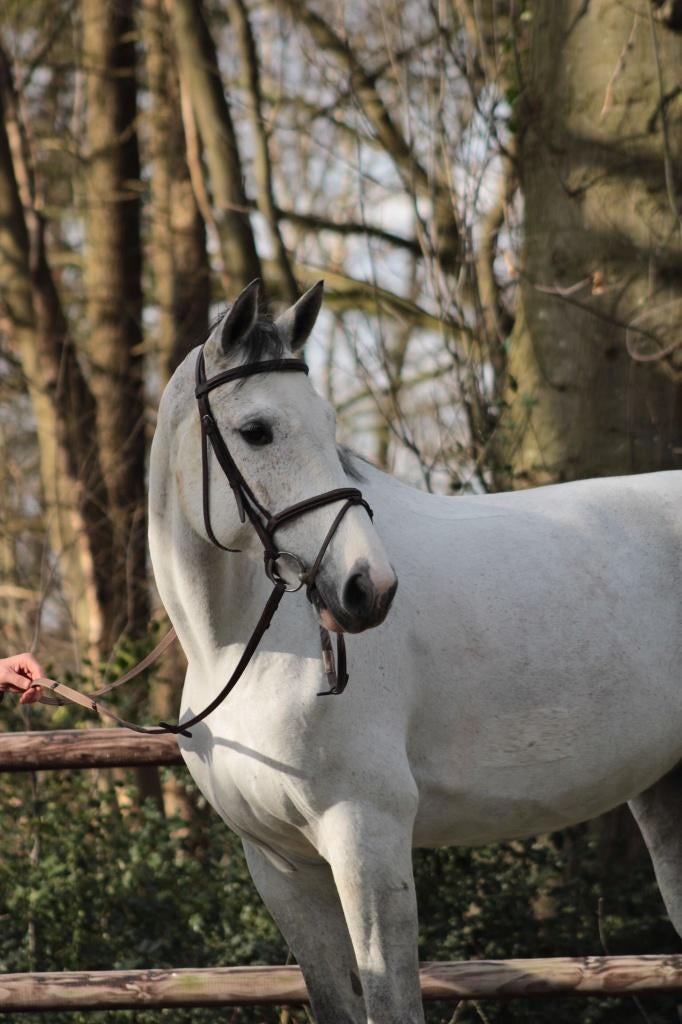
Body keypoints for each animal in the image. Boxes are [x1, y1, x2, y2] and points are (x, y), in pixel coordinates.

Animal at [148, 279, 682, 1024]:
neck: (243, 652)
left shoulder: (365, 838)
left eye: (331, 425)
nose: (367, 587)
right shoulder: (281, 867)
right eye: (257, 430)